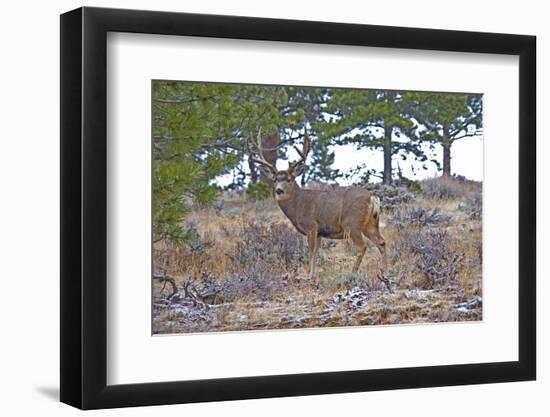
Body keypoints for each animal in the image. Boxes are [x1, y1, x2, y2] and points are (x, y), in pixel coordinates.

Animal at [250, 128, 388, 278]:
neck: (297, 205)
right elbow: (316, 253)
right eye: (275, 179)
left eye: (288, 179)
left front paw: (306, 276)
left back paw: (352, 273)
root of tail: (372, 197)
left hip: (352, 223)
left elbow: (310, 252)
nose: (279, 190)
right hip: (370, 223)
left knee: (362, 247)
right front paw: (312, 274)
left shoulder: (311, 226)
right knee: (381, 242)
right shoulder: (320, 232)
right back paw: (385, 270)